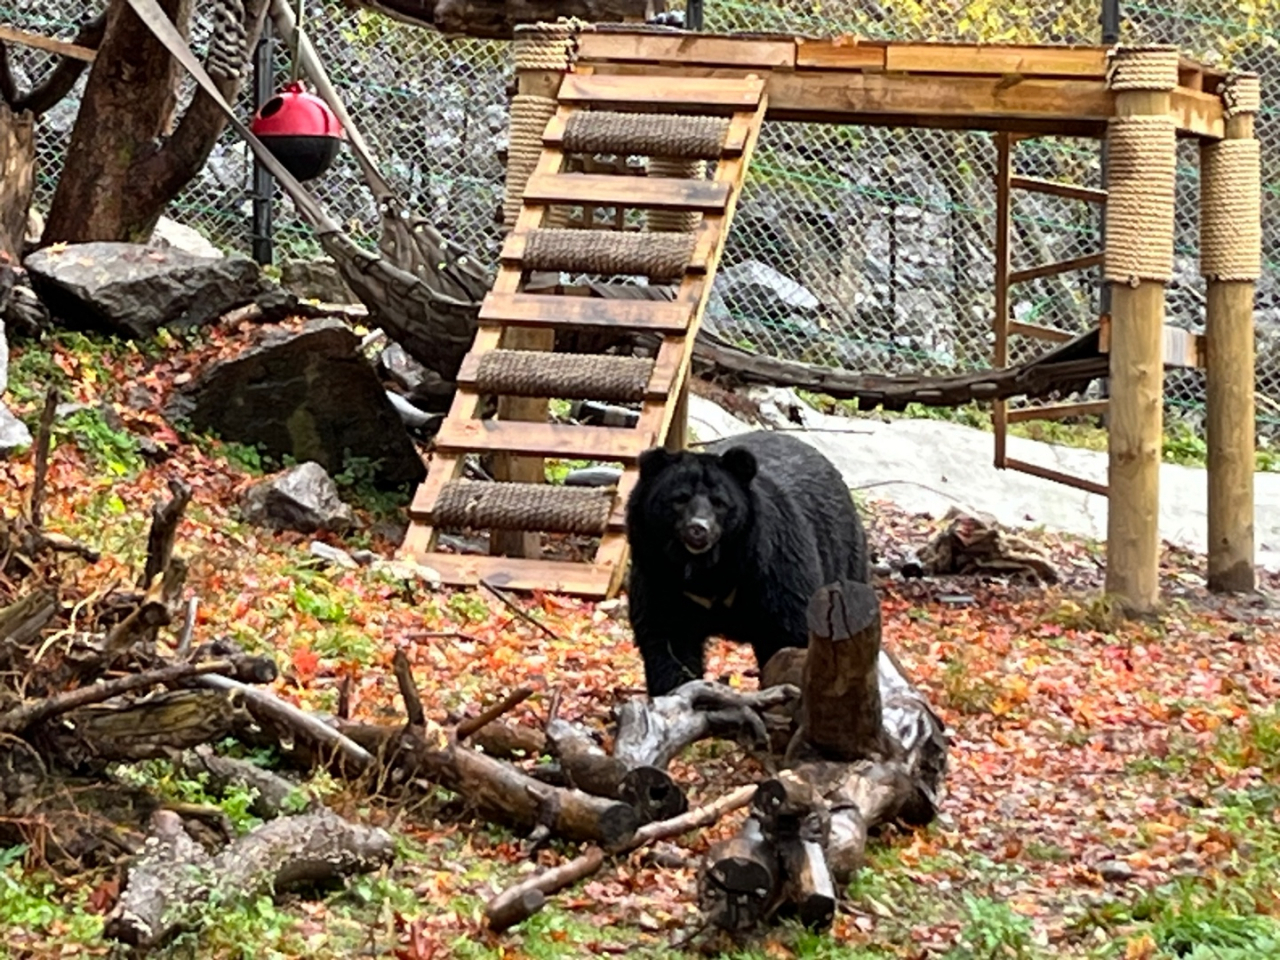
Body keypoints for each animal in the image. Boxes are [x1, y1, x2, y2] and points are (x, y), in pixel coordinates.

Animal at [622, 432, 870, 696]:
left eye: (719, 502)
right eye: (679, 499)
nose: (698, 529)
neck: (708, 570)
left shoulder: (773, 568)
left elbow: (788, 632)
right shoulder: (659, 574)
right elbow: (668, 638)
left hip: (842, 556)